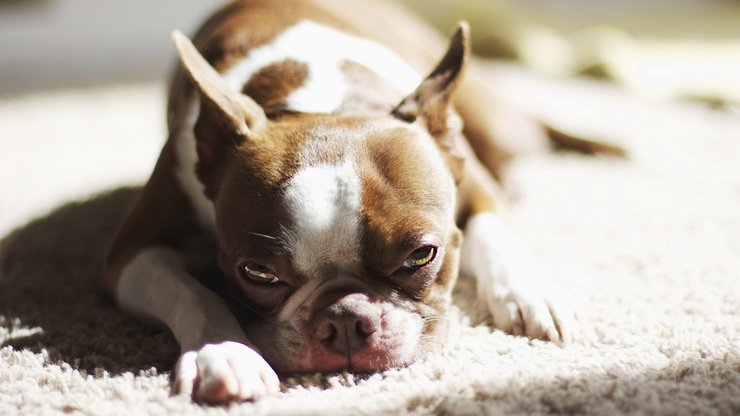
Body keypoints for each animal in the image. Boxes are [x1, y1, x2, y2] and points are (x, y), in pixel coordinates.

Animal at [102, 0, 584, 404]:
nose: (346, 318)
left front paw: (531, 293)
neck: (324, 105)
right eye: (257, 273)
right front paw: (224, 351)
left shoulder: (479, 193)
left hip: (500, 125)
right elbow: (192, 293)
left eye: (421, 256)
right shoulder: (130, 254)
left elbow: (496, 236)